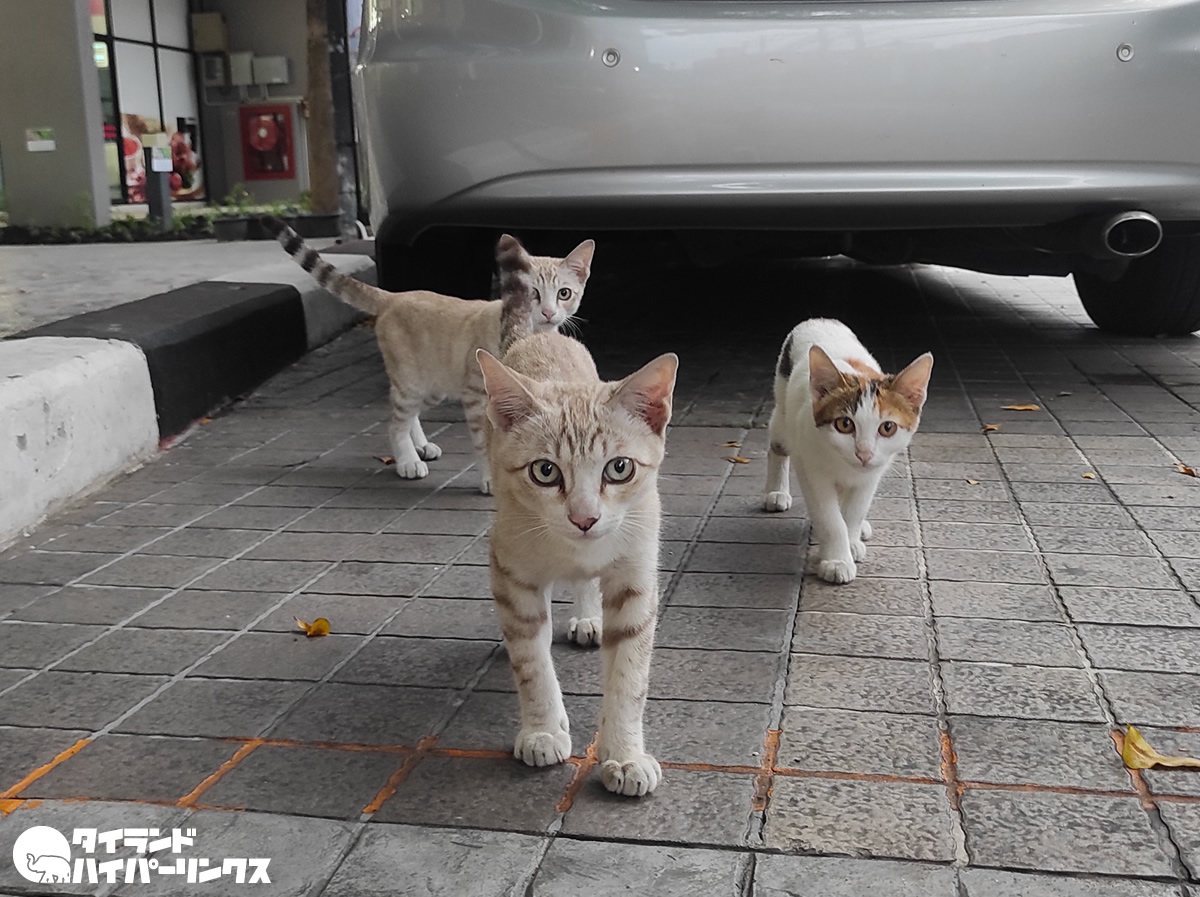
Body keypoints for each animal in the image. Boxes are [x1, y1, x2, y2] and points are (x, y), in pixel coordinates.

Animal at [267, 218, 595, 496]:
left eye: (564, 294)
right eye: (533, 294)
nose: (549, 313)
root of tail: (395, 296)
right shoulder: (477, 397)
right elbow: (484, 443)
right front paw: (490, 479)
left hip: (432, 386)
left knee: (407, 414)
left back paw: (421, 446)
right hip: (412, 382)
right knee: (395, 421)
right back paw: (407, 460)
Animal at [480, 326, 686, 796]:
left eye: (620, 468)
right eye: (544, 471)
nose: (584, 518)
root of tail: (543, 334)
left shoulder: (634, 576)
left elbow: (630, 676)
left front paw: (625, 754)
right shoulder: (512, 571)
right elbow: (532, 662)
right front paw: (542, 730)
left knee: (587, 582)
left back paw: (590, 617)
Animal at [763, 318, 931, 585]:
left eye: (888, 427)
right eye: (844, 424)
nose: (864, 454)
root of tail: (819, 319)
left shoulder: (872, 473)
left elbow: (854, 510)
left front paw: (851, 540)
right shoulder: (810, 466)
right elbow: (830, 517)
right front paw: (837, 560)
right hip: (783, 413)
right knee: (777, 443)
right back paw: (776, 492)